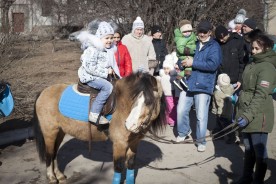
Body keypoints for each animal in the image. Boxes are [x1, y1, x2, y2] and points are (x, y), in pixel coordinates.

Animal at [32, 72, 166, 184]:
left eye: (150, 102)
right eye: (134, 99)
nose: (130, 124)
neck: (122, 106)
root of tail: (43, 92)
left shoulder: (134, 143)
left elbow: (131, 166)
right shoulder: (119, 144)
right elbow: (118, 168)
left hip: (60, 132)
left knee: (54, 153)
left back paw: (59, 175)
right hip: (50, 132)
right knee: (49, 154)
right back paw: (51, 177)